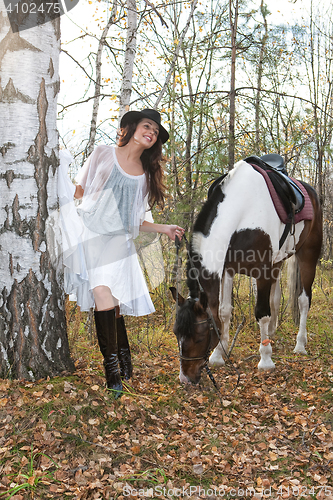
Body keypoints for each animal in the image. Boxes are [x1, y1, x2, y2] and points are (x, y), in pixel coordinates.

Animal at [170, 158, 320, 384]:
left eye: (199, 336)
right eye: (176, 334)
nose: (185, 379)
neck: (241, 210)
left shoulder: (262, 270)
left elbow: (261, 313)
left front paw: (266, 360)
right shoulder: (227, 270)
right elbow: (224, 311)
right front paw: (219, 354)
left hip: (307, 255)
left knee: (304, 300)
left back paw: (300, 345)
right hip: (278, 262)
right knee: (276, 297)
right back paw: (272, 332)